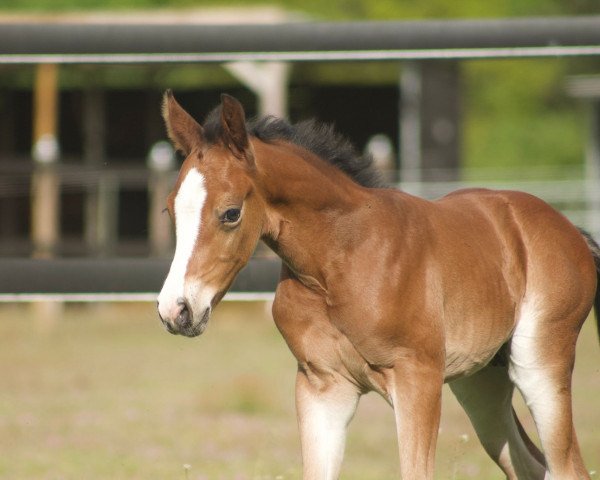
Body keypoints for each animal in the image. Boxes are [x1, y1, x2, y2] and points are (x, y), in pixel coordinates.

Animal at [157, 92, 596, 478]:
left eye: (230, 213)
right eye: (169, 210)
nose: (176, 309)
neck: (339, 263)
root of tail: (569, 229)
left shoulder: (418, 380)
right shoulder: (322, 387)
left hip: (539, 365)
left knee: (567, 466)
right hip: (480, 382)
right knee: (531, 465)